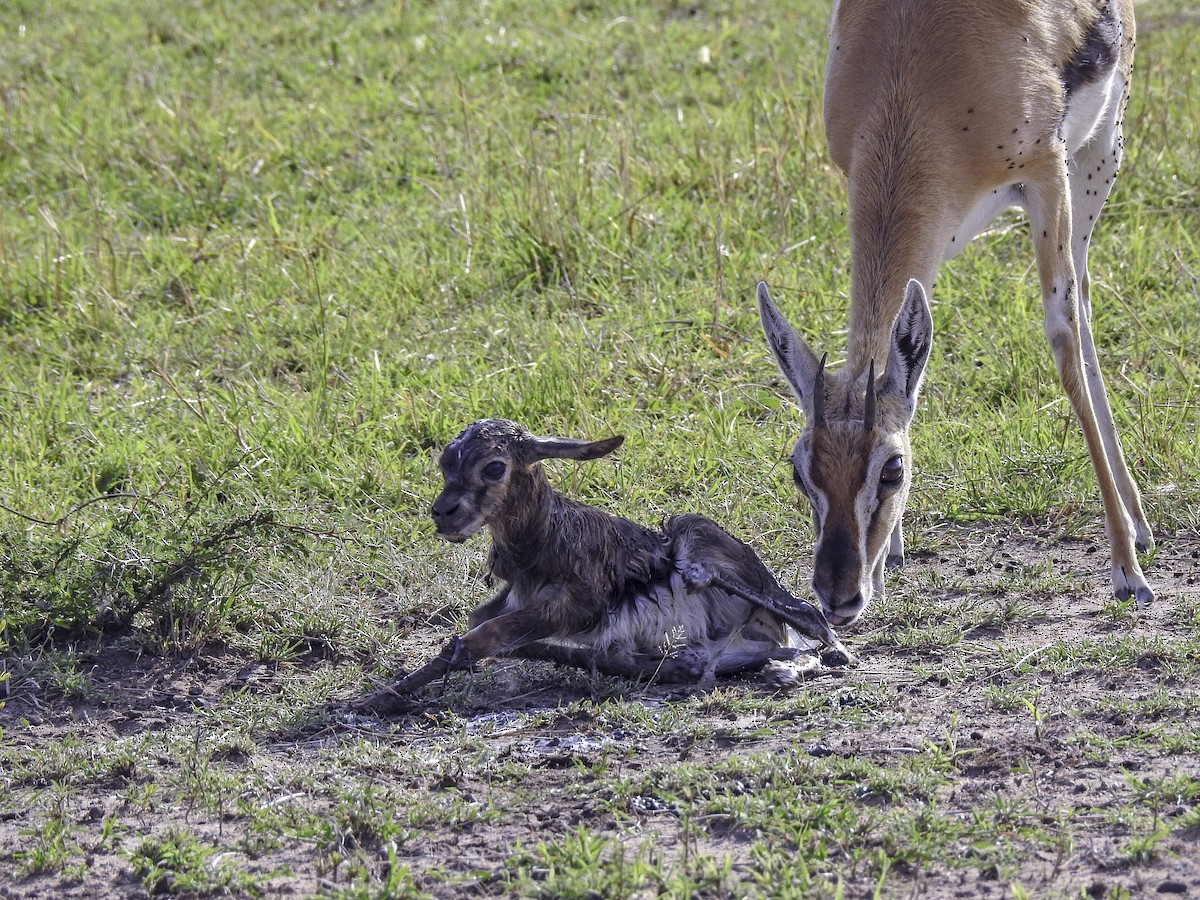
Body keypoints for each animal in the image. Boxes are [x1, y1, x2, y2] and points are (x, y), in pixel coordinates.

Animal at [355, 419, 850, 712]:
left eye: (494, 466)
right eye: (444, 461)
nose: (444, 513)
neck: (543, 544)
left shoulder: (573, 608)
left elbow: (474, 639)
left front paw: (378, 699)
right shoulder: (515, 602)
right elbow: (484, 628)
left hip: (697, 538)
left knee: (820, 628)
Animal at [757, 0, 1153, 628]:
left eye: (892, 468)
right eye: (799, 468)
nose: (837, 596)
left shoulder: (1046, 174)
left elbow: (1064, 344)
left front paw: (1127, 574)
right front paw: (890, 557)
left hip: (1097, 163)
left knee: (1083, 309)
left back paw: (1136, 531)